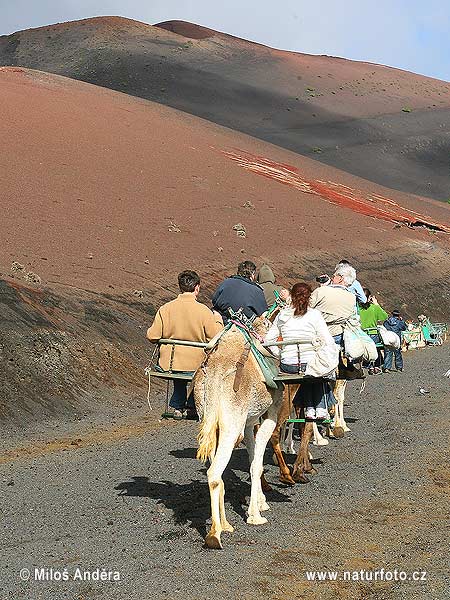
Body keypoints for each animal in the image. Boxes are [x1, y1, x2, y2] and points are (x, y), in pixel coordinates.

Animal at [192, 318, 282, 548]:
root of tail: (215, 376)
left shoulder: (249, 422)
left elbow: (253, 459)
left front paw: (260, 503)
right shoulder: (271, 413)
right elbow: (256, 464)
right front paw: (255, 515)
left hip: (210, 421)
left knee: (217, 470)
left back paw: (225, 525)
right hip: (231, 425)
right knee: (214, 473)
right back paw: (214, 535)